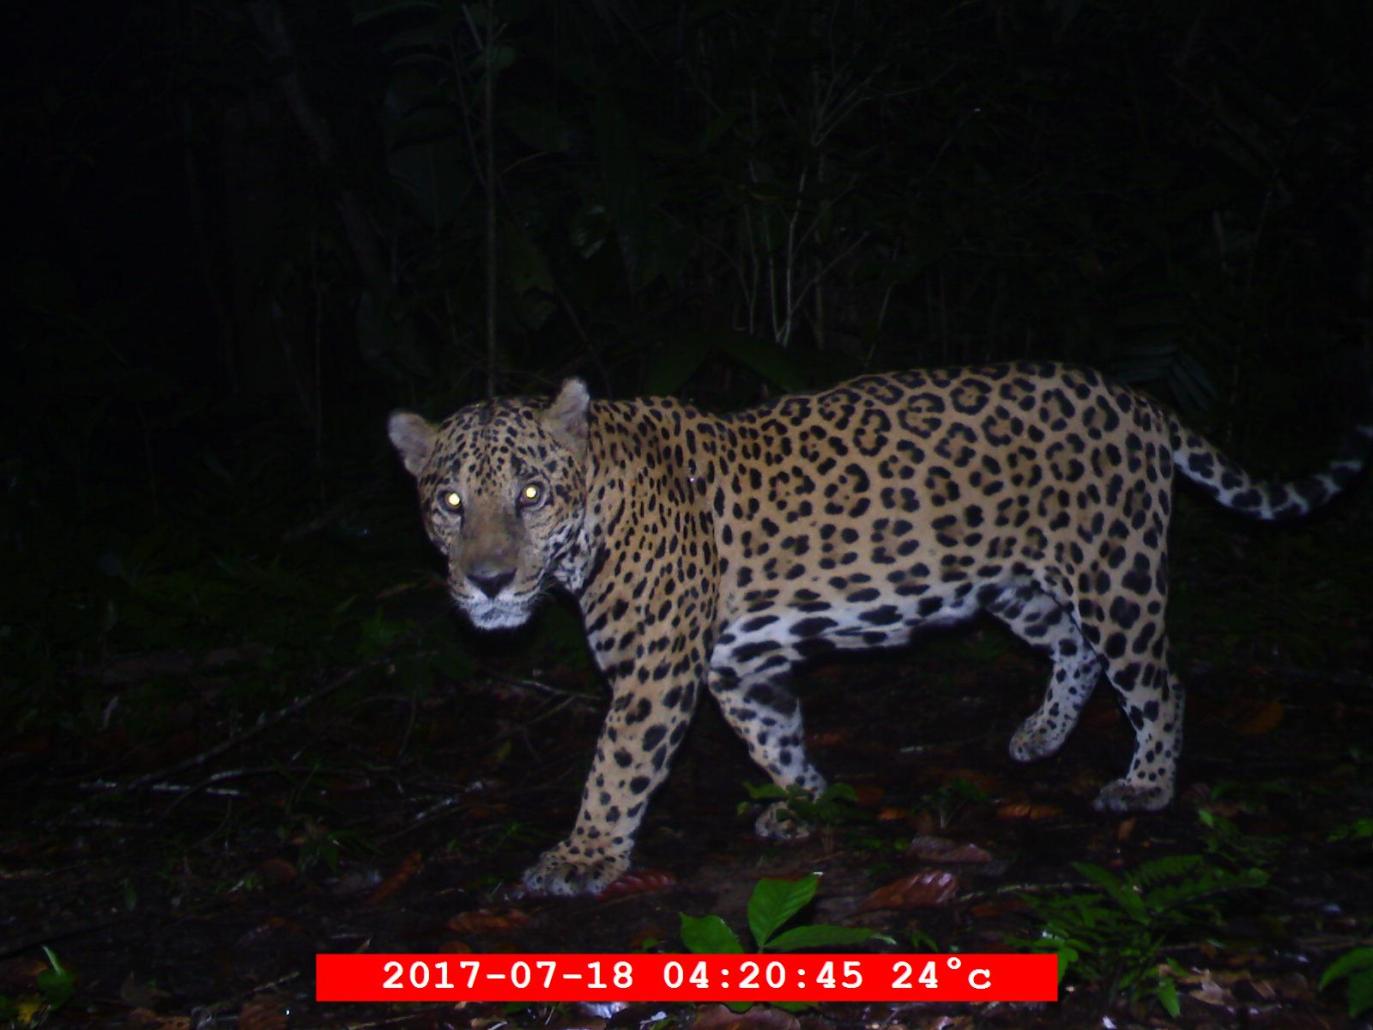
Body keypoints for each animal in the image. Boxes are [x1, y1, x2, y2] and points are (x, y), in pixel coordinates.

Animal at [389, 363, 1371, 896]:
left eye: (530, 495)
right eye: (449, 503)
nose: (486, 582)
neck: (598, 506)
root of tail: (1133, 399)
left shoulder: (654, 674)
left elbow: (616, 770)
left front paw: (583, 857)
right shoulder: (738, 666)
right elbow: (773, 734)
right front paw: (804, 803)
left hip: (1114, 571)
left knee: (1157, 680)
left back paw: (1145, 785)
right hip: (1014, 586)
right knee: (1072, 651)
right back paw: (1040, 736)